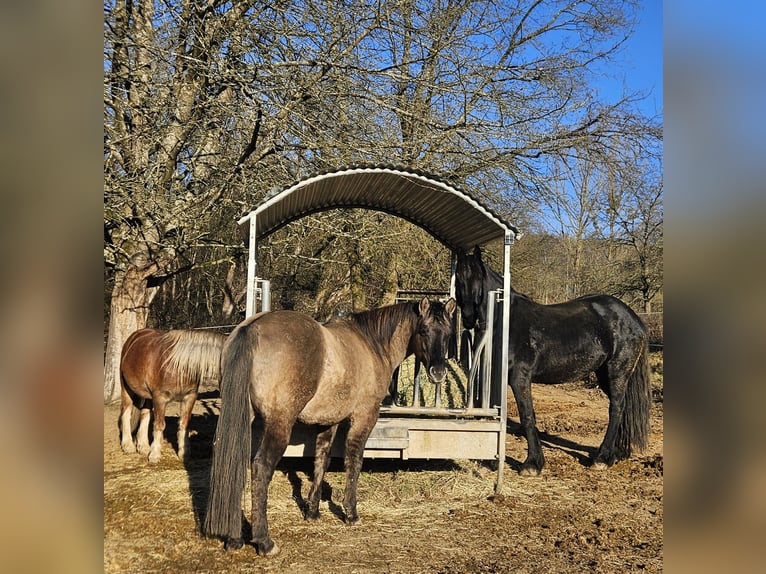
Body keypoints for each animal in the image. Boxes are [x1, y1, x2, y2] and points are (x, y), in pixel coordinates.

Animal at [119, 328, 226, 463]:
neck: (178, 366)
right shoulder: (159, 398)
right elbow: (159, 425)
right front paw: (155, 455)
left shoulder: (190, 397)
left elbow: (184, 424)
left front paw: (183, 453)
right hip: (126, 388)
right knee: (126, 413)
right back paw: (128, 445)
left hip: (147, 396)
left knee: (145, 414)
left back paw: (143, 447)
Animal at [204, 297, 456, 556]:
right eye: (423, 331)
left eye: (448, 333)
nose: (438, 372)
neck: (371, 345)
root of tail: (252, 328)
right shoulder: (364, 416)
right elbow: (354, 461)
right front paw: (351, 513)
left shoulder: (329, 421)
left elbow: (321, 461)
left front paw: (313, 512)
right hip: (279, 424)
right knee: (261, 468)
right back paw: (265, 541)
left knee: (233, 459)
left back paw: (234, 539)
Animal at [455, 246, 651, 476]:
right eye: (458, 279)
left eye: (478, 278)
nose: (468, 317)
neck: (505, 321)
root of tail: (633, 318)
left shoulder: (520, 378)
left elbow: (527, 416)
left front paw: (532, 464)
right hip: (604, 373)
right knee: (623, 408)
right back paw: (616, 454)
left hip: (616, 371)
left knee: (617, 408)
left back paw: (602, 458)